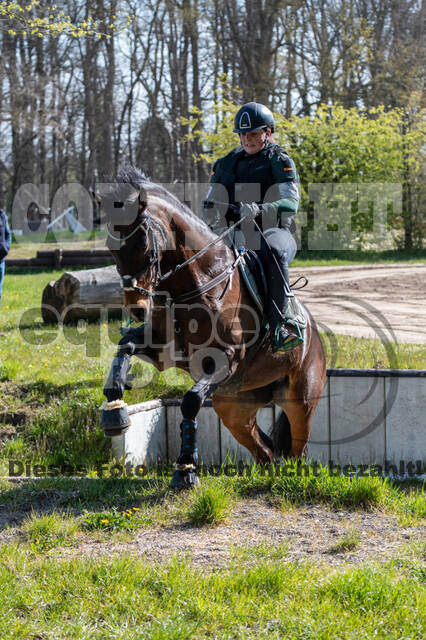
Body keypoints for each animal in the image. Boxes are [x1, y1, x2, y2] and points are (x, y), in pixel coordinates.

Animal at [95, 168, 326, 488]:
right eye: (110, 246)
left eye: (142, 243)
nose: (137, 308)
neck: (194, 284)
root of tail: (316, 339)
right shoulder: (162, 351)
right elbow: (125, 346)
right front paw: (114, 410)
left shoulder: (225, 358)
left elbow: (191, 401)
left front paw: (185, 470)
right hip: (233, 407)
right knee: (264, 451)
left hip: (300, 400)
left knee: (297, 449)